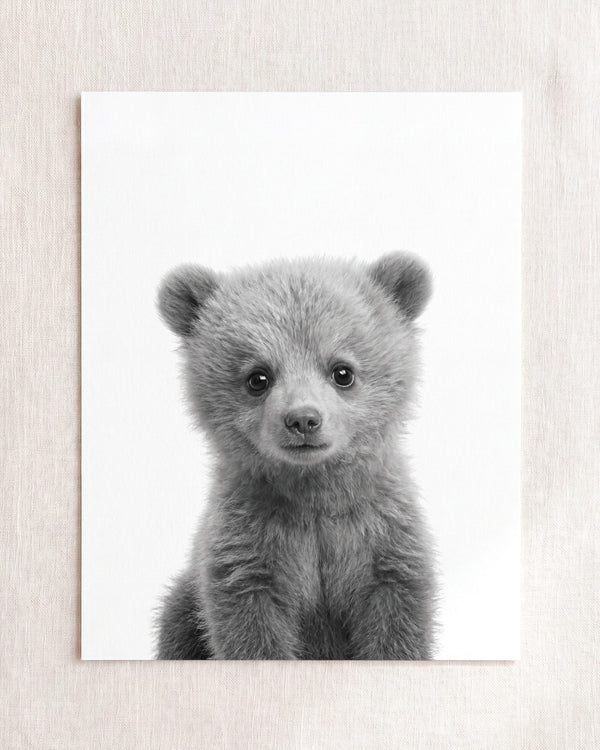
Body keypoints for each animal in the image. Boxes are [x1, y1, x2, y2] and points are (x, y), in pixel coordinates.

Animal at [155, 252, 437, 660]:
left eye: (342, 371)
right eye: (258, 377)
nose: (303, 420)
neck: (313, 492)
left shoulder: (382, 540)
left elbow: (396, 625)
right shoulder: (248, 549)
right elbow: (252, 633)